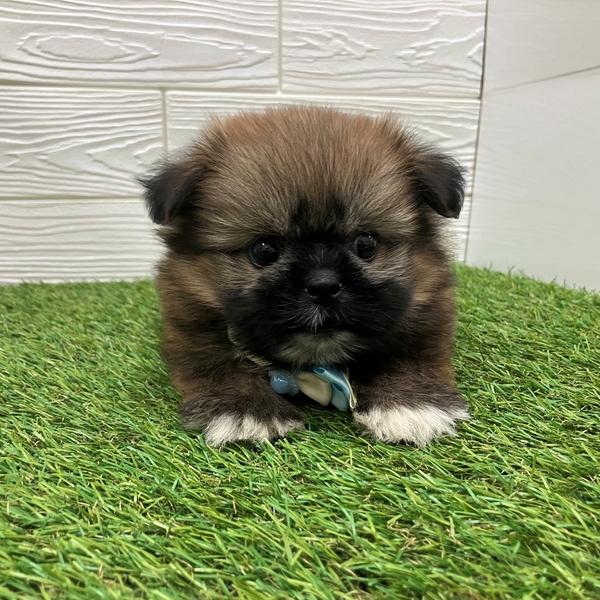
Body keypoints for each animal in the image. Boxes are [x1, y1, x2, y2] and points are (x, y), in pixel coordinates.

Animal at [140, 106, 470, 446]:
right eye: (263, 250)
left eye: (366, 244)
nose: (323, 285)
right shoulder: (192, 321)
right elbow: (218, 363)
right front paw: (245, 409)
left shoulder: (425, 313)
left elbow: (411, 356)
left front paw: (410, 403)